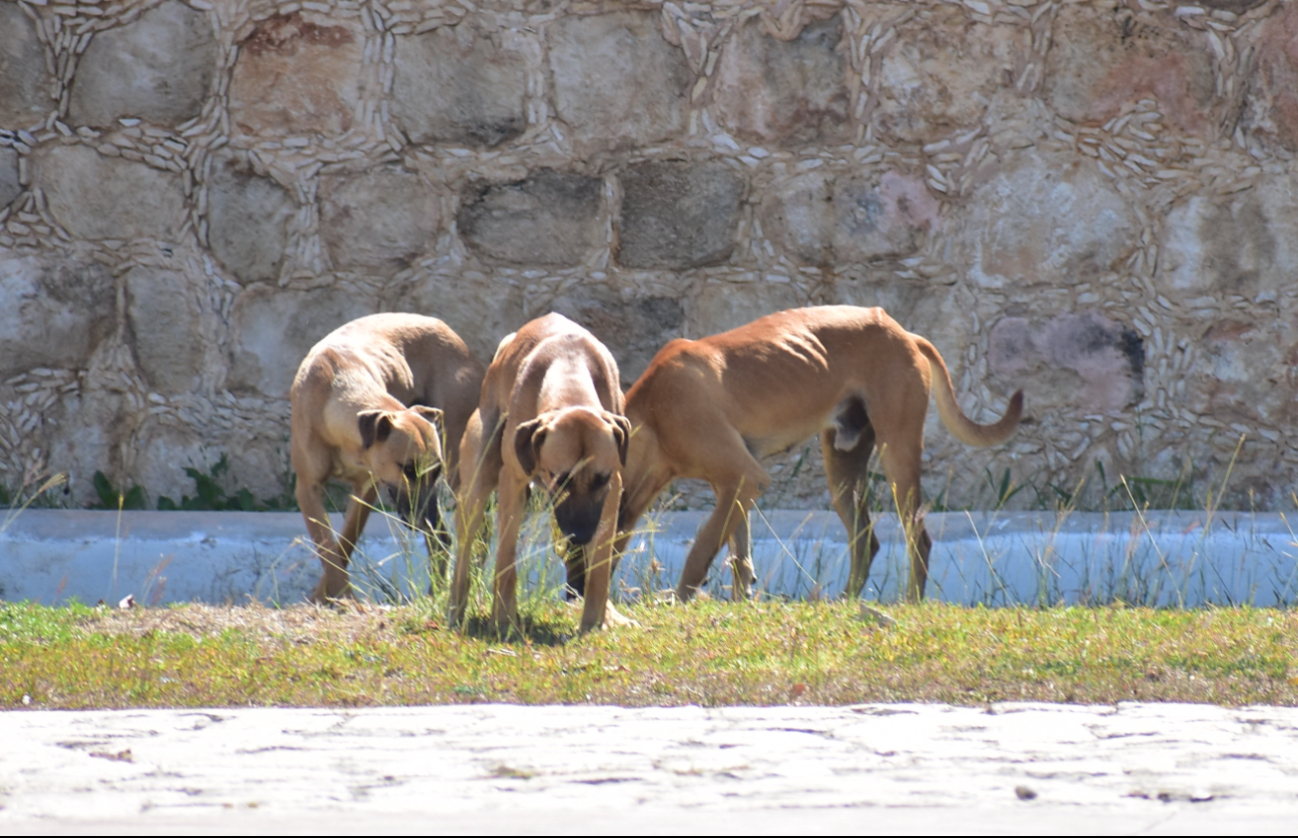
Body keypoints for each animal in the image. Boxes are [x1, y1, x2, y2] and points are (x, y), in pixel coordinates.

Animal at [292, 315, 485, 604]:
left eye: (435, 470)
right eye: (407, 468)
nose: (427, 519)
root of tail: (449, 331)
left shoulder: (368, 487)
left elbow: (344, 543)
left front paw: (340, 599)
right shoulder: (308, 488)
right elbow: (330, 548)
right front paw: (331, 596)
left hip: (458, 468)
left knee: (472, 531)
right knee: (443, 539)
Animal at [449, 315, 636, 638]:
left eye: (600, 479)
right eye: (560, 479)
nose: (580, 535)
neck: (570, 375)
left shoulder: (611, 491)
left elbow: (599, 569)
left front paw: (594, 623)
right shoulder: (513, 483)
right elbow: (506, 560)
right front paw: (503, 620)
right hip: (476, 484)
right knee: (464, 551)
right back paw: (455, 611)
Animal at [617, 307, 1022, 604]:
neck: (652, 412)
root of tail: (904, 332)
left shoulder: (744, 478)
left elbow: (700, 553)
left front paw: (679, 603)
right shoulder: (732, 486)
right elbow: (739, 556)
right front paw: (739, 603)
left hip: (898, 458)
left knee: (918, 540)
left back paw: (910, 604)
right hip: (843, 472)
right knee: (866, 540)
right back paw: (845, 602)